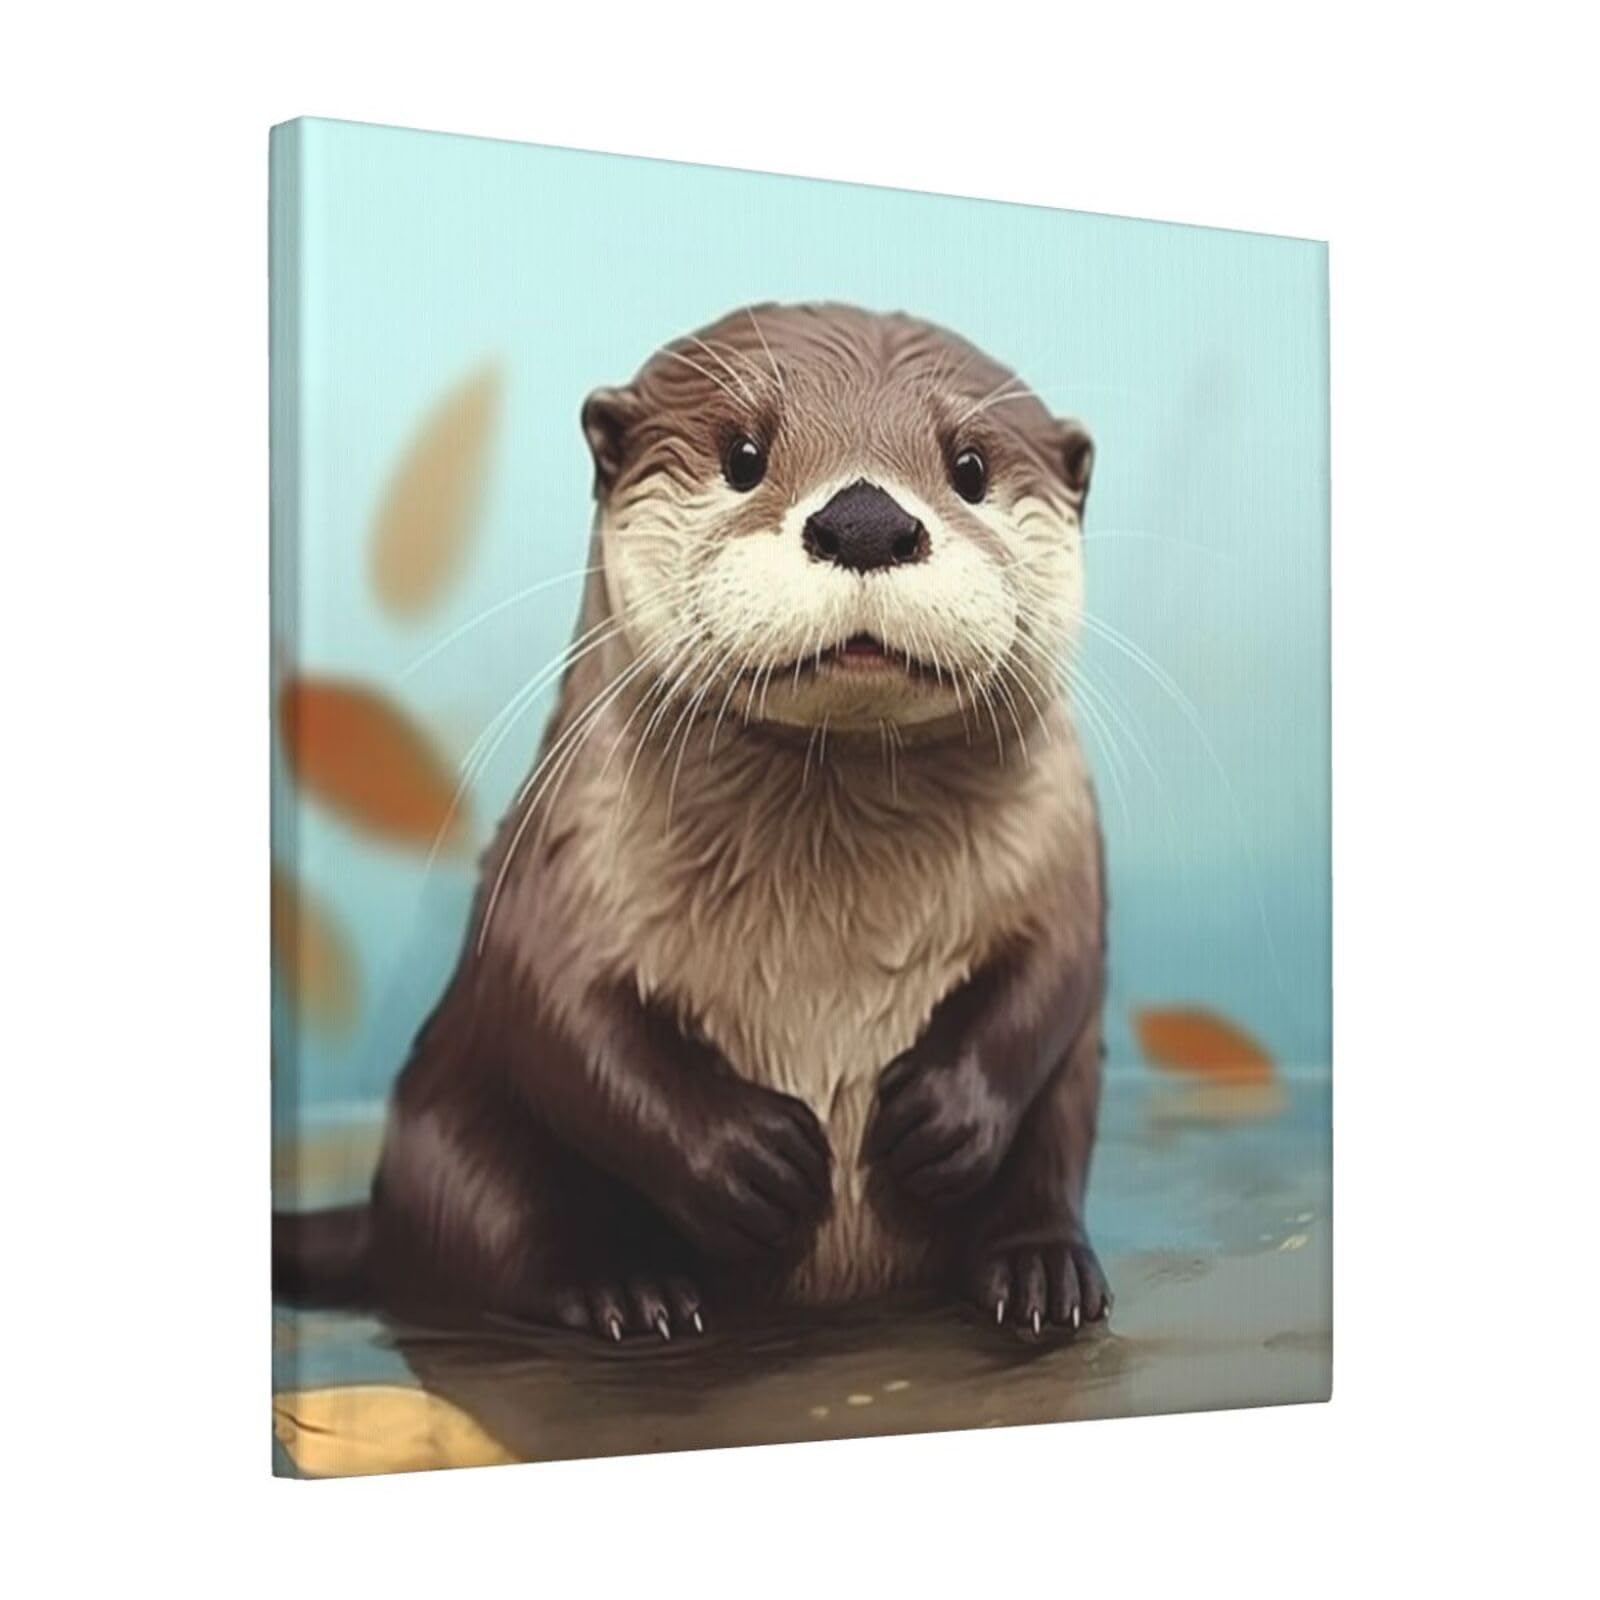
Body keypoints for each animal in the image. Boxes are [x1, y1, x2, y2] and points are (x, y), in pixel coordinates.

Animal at [275, 303, 1110, 1342]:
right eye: (743, 454)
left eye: (970, 467)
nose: (866, 520)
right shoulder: (562, 856)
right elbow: (560, 1010)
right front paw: (747, 1158)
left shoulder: (1064, 844)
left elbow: (1057, 972)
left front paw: (945, 1113)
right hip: (454, 1136)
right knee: (501, 1234)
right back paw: (626, 1288)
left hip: (1073, 1095)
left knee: (1049, 1151)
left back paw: (1040, 1271)